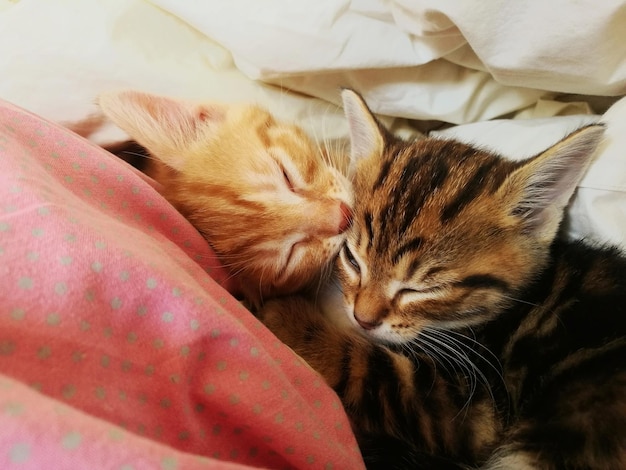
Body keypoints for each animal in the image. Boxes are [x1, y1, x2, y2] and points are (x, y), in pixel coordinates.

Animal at [258, 90, 624, 468]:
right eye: (352, 260)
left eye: (426, 289)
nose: (363, 319)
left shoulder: (474, 410)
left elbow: (362, 362)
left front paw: (285, 312)